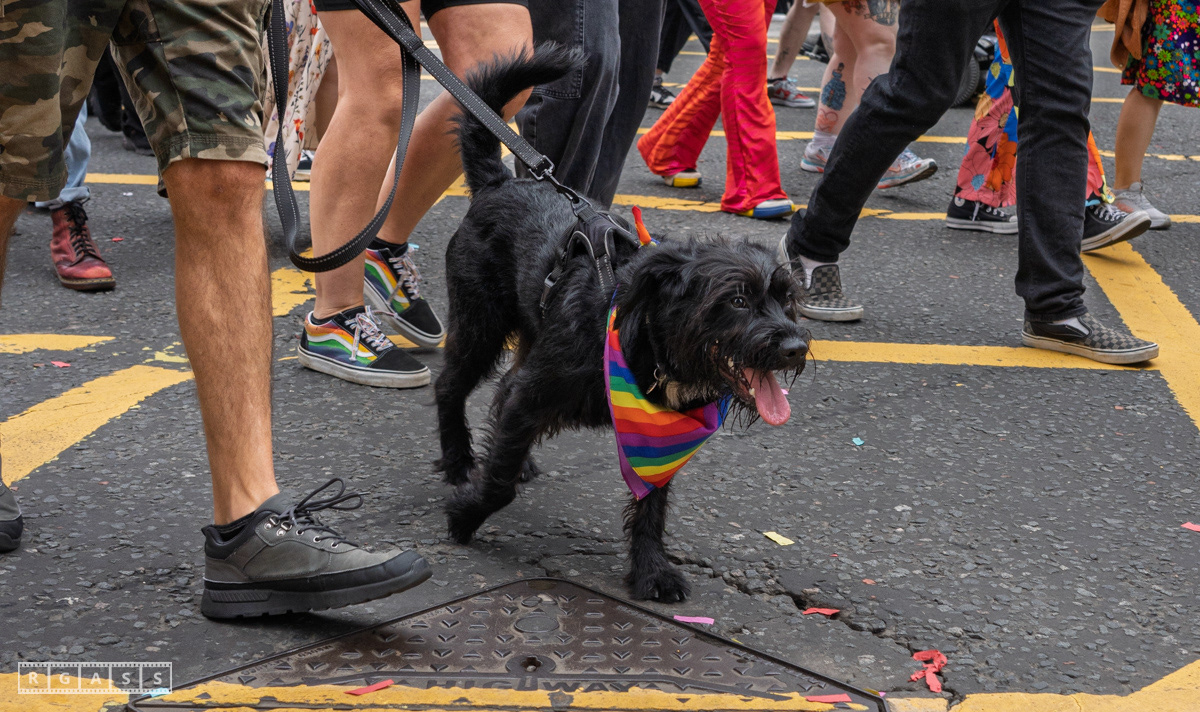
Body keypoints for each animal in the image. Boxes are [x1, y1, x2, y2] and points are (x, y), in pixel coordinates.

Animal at [436, 45, 811, 602]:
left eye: (788, 300)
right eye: (738, 299)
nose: (793, 348)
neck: (645, 346)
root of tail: (500, 183)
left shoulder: (660, 443)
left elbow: (652, 506)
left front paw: (652, 569)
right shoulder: (538, 391)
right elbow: (498, 482)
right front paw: (466, 514)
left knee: (502, 389)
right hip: (479, 324)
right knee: (450, 385)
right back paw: (460, 462)